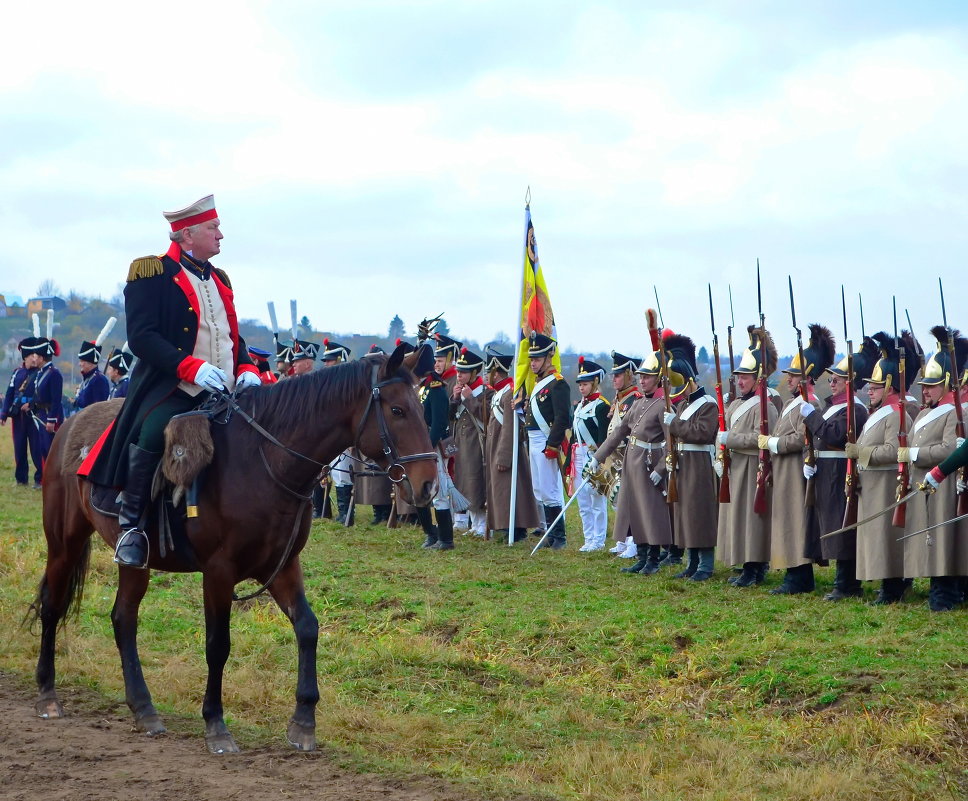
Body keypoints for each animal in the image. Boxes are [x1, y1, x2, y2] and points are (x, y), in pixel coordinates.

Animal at [30, 346, 436, 752]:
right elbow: (218, 644)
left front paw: (304, 720)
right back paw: (48, 694)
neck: (265, 460)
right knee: (53, 605)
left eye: (419, 408)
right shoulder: (218, 571)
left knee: (123, 618)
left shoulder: (283, 566)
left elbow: (307, 627)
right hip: (64, 542)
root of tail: (71, 422)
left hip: (135, 562)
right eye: (397, 410)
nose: (429, 485)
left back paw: (143, 707)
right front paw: (216, 723)